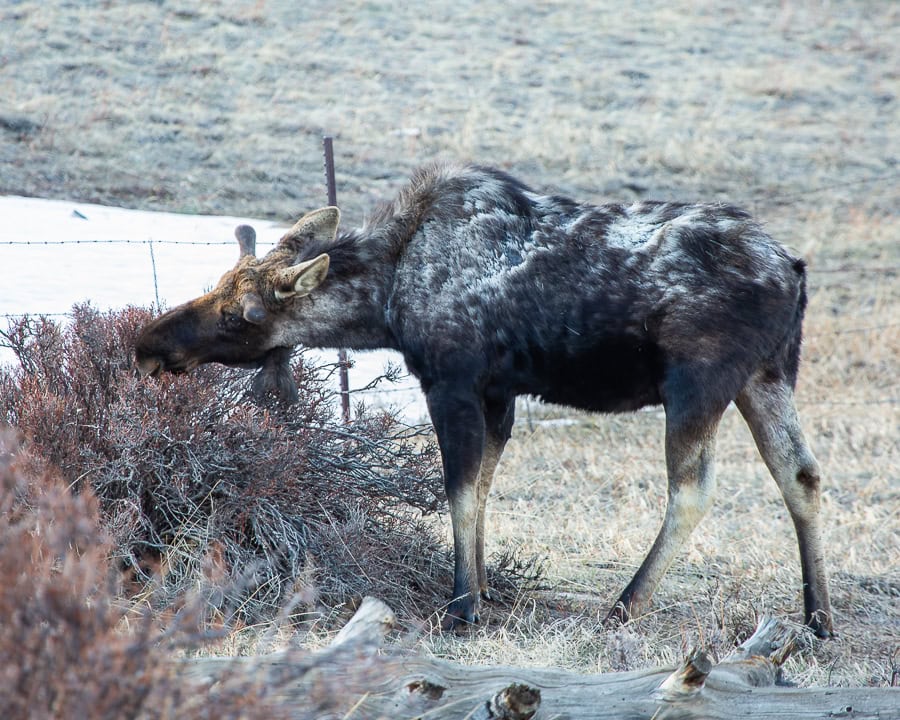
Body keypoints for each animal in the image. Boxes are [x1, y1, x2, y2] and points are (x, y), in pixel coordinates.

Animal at [135, 162, 833, 637]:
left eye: (240, 315)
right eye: (220, 286)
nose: (147, 344)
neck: (386, 301)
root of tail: (794, 270)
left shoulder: (454, 381)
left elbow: (460, 487)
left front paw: (462, 604)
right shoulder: (500, 392)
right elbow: (487, 485)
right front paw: (485, 588)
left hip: (698, 381)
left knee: (692, 489)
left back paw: (626, 604)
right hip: (768, 374)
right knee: (800, 472)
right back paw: (817, 614)